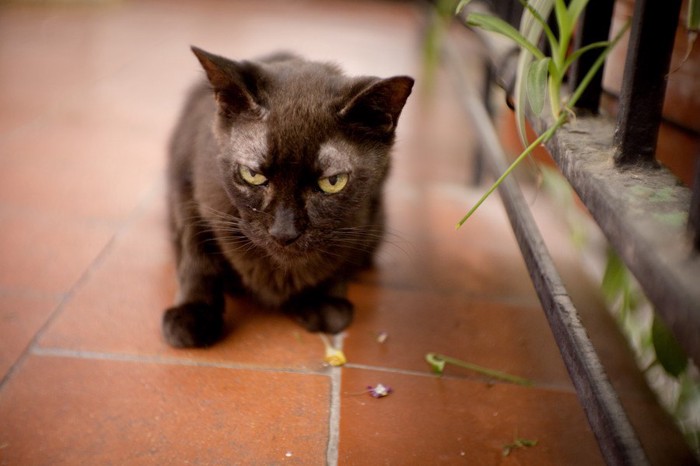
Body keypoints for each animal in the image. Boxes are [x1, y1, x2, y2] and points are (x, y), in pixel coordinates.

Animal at [163, 46, 416, 346]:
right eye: (252, 175)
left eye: (332, 182)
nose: (284, 233)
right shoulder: (187, 190)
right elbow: (196, 253)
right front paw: (193, 313)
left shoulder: (365, 218)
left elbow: (342, 259)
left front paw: (323, 301)